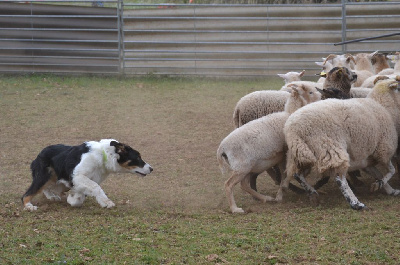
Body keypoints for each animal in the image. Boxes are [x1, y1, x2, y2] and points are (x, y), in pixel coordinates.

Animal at [21, 138, 153, 210]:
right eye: (138, 157)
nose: (151, 169)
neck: (104, 155)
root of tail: (38, 155)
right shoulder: (77, 176)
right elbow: (96, 188)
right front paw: (107, 203)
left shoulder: (82, 180)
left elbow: (80, 196)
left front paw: (72, 199)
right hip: (44, 176)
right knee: (27, 194)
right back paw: (29, 206)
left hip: (59, 182)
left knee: (47, 188)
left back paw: (51, 196)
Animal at [217, 84, 320, 212]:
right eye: (310, 92)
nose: (321, 99)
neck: (289, 112)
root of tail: (222, 148)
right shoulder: (285, 153)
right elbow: (285, 173)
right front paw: (281, 192)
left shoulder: (281, 156)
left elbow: (284, 173)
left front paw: (280, 193)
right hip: (242, 168)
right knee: (228, 184)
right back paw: (235, 209)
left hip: (247, 167)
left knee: (244, 184)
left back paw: (265, 198)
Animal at [276, 77, 400, 209]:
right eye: (398, 88)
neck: (384, 105)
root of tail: (293, 129)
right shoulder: (384, 149)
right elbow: (391, 170)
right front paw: (381, 185)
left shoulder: (366, 159)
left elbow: (378, 174)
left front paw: (386, 189)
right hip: (330, 148)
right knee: (339, 178)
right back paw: (356, 203)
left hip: (300, 153)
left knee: (297, 174)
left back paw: (313, 193)